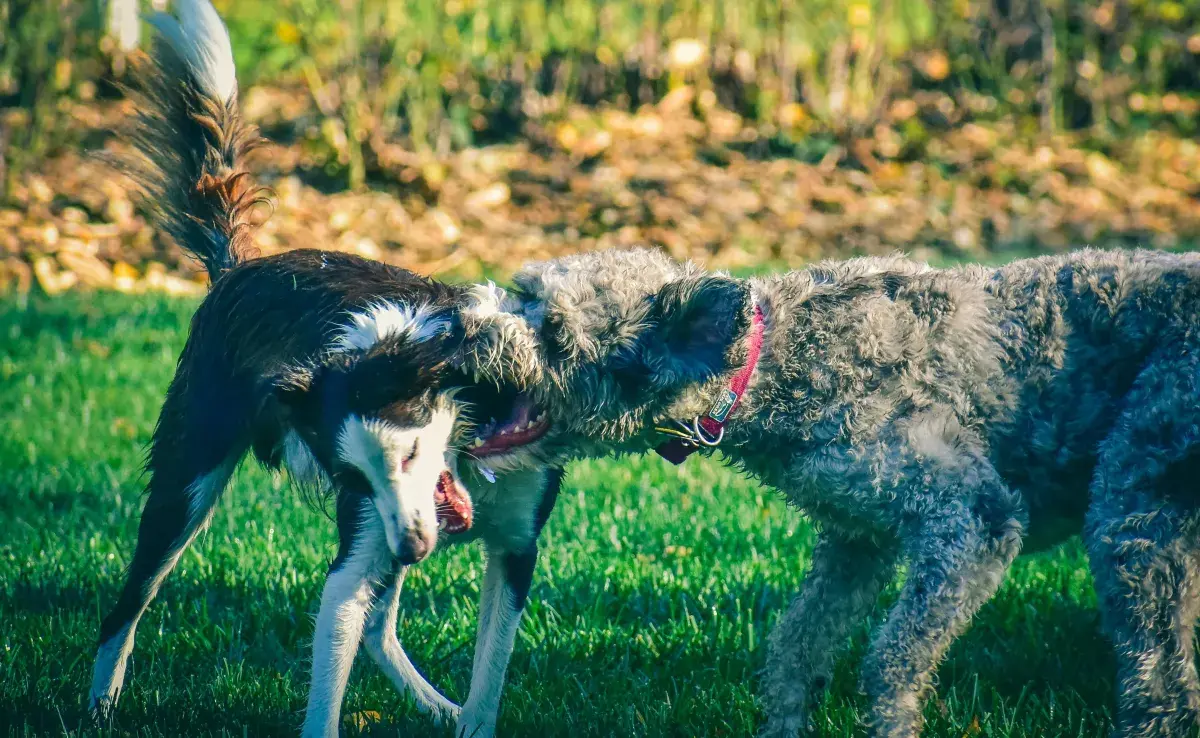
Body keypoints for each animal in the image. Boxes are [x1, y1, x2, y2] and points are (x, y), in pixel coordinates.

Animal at [87, 2, 556, 734]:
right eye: (352, 475)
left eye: (412, 452)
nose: (413, 552)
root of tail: (241, 267)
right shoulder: (358, 551)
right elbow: (331, 674)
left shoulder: (511, 549)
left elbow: (488, 683)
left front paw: (466, 714)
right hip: (185, 484)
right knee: (129, 602)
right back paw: (100, 703)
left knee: (381, 628)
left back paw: (434, 704)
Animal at [453, 249, 1200, 738]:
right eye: (521, 291)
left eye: (554, 333)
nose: (461, 327)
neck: (772, 363)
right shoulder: (854, 540)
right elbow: (796, 647)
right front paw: (785, 727)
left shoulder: (971, 524)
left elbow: (891, 660)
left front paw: (892, 728)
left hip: (1133, 517)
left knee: (1160, 679)